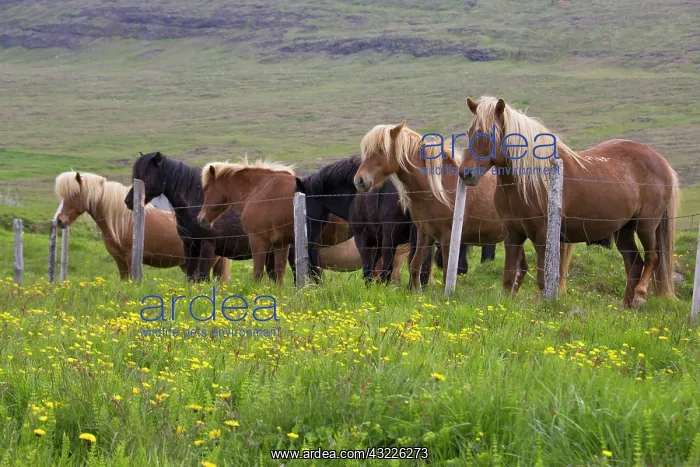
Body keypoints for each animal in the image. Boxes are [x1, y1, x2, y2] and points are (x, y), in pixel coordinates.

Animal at [124, 152, 276, 282]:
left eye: (145, 176)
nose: (128, 201)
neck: (198, 202)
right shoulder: (189, 246)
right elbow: (190, 277)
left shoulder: (207, 245)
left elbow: (203, 277)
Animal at [458, 96, 679, 307]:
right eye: (469, 132)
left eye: (490, 134)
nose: (466, 174)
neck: (530, 181)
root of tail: (661, 162)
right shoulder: (513, 235)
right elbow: (509, 276)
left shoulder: (543, 235)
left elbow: (543, 278)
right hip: (623, 230)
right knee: (633, 263)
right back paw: (627, 305)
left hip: (646, 225)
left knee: (652, 258)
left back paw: (640, 296)